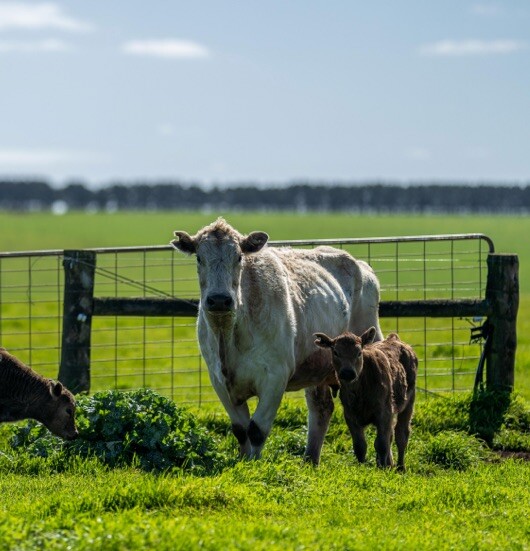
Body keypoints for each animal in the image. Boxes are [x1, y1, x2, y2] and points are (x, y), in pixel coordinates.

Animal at [171, 218, 382, 464]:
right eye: (199, 257)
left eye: (239, 257)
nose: (219, 300)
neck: (228, 337)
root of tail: (360, 265)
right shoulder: (219, 380)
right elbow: (241, 430)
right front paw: (243, 461)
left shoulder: (275, 376)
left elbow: (256, 430)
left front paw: (254, 464)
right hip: (318, 365)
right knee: (321, 408)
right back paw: (310, 459)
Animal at [314, 328, 416, 470]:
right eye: (335, 352)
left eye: (359, 352)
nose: (347, 372)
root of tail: (394, 339)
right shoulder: (350, 416)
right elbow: (360, 446)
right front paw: (362, 467)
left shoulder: (384, 413)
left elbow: (381, 444)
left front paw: (382, 470)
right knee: (391, 435)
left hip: (409, 402)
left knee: (401, 434)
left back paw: (400, 467)